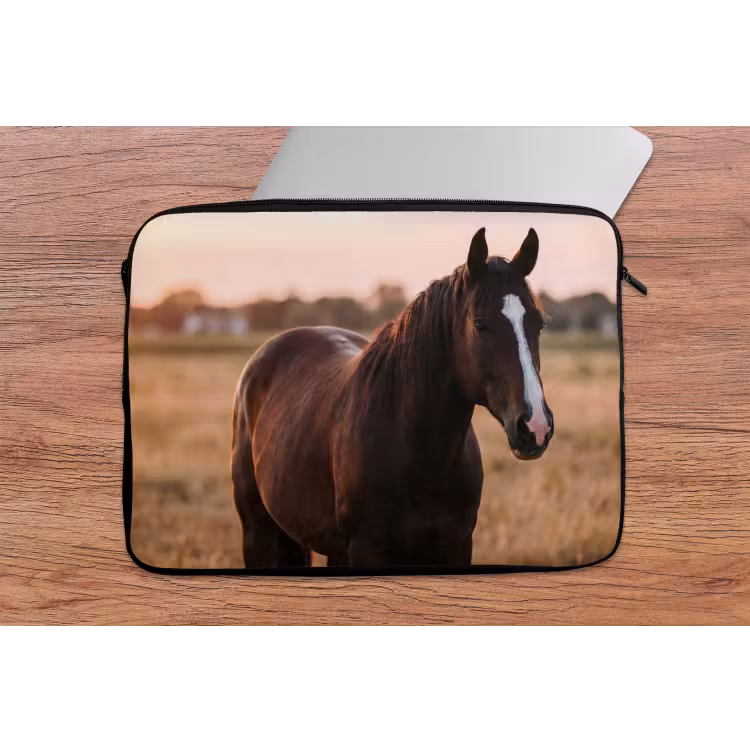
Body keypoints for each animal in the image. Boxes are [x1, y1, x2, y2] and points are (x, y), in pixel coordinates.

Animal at [231, 226, 554, 568]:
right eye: (480, 324)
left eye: (539, 324)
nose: (535, 426)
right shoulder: (367, 549)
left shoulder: (456, 545)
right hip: (258, 531)